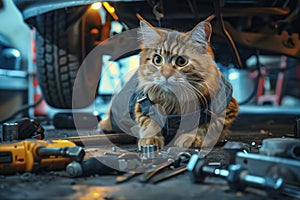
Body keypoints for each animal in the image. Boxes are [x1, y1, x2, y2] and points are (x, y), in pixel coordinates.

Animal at [99, 19, 239, 149]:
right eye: (157, 60)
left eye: (181, 61)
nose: (166, 74)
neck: (174, 101)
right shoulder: (141, 106)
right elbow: (149, 122)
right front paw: (150, 139)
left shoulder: (228, 108)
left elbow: (208, 126)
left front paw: (191, 137)